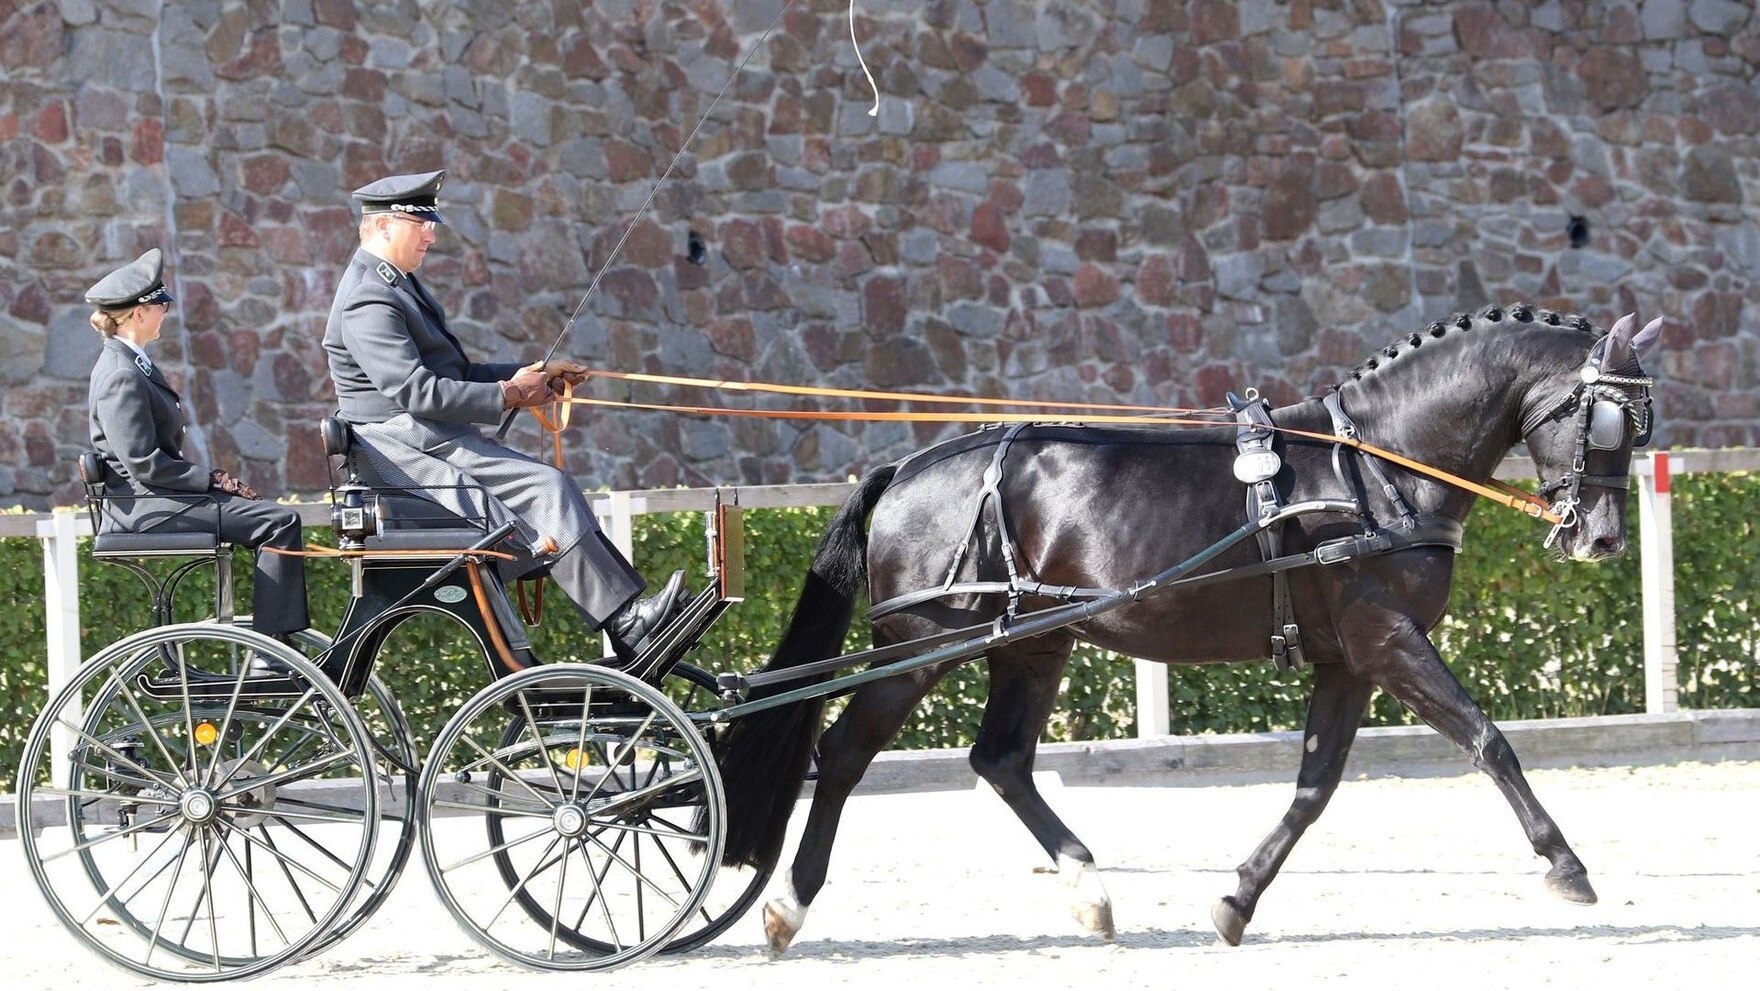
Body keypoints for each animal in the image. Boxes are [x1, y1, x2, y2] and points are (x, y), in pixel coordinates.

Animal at [707, 304, 1654, 950]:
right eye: (1605, 417)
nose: (1603, 537)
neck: (1375, 467)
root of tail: (914, 461)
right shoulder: (1388, 640)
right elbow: (1488, 739)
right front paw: (1566, 864)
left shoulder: (1348, 659)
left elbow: (1315, 787)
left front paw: (1237, 900)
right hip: (921, 645)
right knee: (843, 755)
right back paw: (789, 902)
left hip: (1032, 644)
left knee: (1001, 760)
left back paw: (1088, 889)